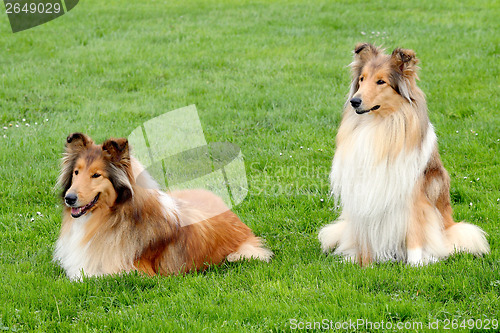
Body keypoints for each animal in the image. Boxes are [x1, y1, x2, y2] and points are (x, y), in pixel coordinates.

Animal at [53, 132, 272, 280]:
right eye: (76, 172)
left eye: (96, 175)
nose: (69, 198)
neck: (113, 216)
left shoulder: (132, 272)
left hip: (242, 253)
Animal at [320, 43, 488, 264]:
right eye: (362, 79)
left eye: (381, 81)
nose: (354, 101)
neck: (378, 125)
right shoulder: (363, 191)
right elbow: (364, 234)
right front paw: (364, 264)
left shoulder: (415, 196)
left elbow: (414, 231)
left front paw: (415, 265)